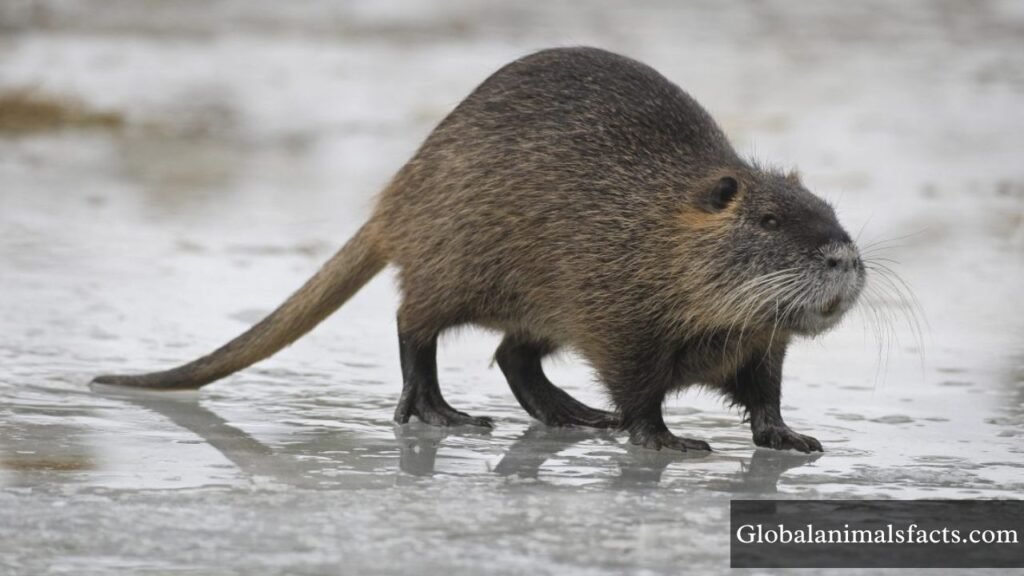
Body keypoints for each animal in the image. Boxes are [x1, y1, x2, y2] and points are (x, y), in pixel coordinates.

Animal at [93, 47, 865, 453]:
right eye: (769, 218)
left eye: (832, 214)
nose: (843, 259)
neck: (653, 225)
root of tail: (393, 204)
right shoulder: (613, 307)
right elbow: (637, 383)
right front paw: (664, 438)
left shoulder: (758, 342)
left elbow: (764, 390)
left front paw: (791, 437)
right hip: (459, 263)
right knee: (414, 324)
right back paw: (442, 411)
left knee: (512, 353)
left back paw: (575, 415)